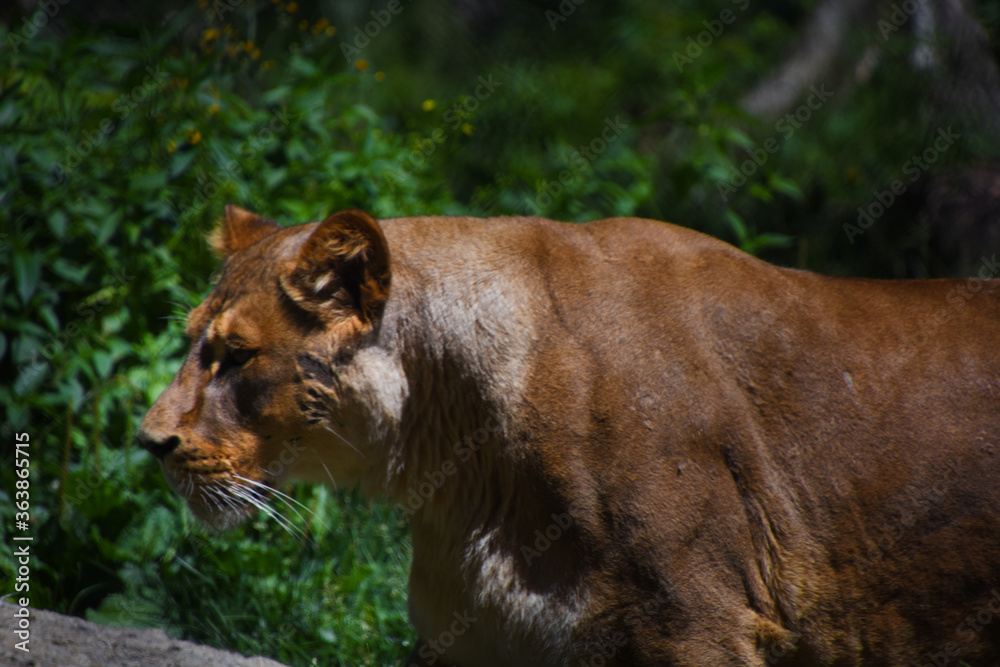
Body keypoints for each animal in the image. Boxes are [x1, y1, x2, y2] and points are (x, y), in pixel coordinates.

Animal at [139, 204, 1000, 666]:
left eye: (238, 355)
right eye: (192, 338)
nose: (150, 442)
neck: (456, 471)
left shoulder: (698, 624)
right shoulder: (474, 641)